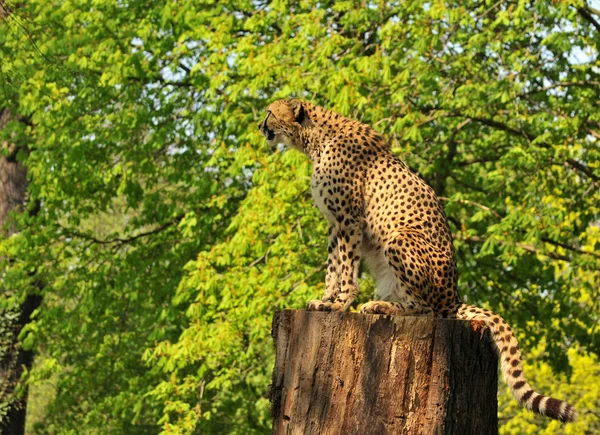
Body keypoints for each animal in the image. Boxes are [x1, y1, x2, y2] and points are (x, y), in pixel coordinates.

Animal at [258, 99, 576, 422]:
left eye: (270, 112)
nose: (261, 126)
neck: (314, 138)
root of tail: (454, 296)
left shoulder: (348, 218)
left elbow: (345, 267)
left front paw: (339, 304)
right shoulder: (335, 223)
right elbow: (333, 266)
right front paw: (325, 300)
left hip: (399, 238)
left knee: (427, 309)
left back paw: (380, 306)